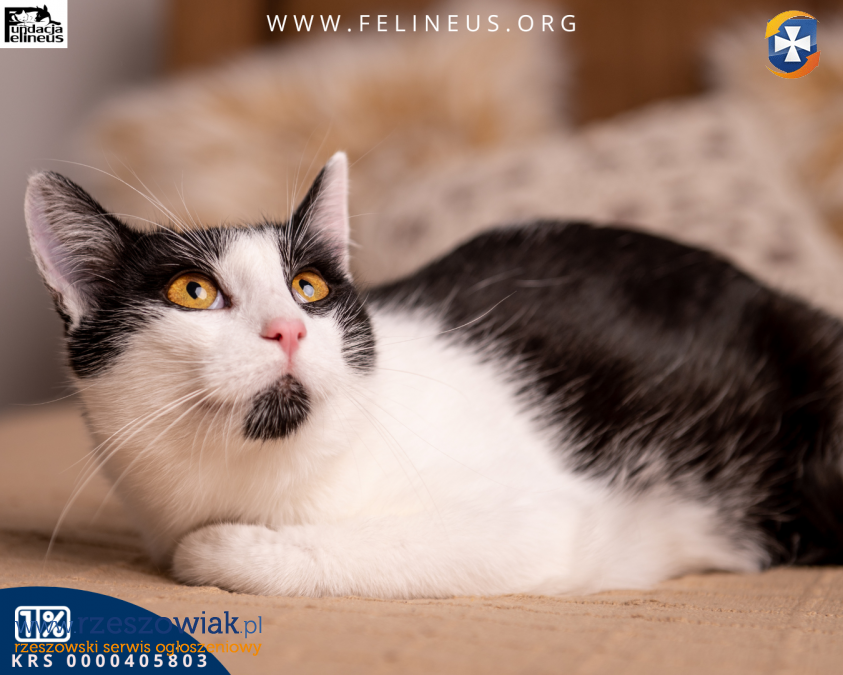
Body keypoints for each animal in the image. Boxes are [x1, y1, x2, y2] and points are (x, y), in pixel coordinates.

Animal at [25, 152, 843, 598]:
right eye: (192, 291)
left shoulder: (539, 522)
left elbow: (220, 550)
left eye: (308, 288)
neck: (269, 483)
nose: (289, 327)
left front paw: (223, 547)